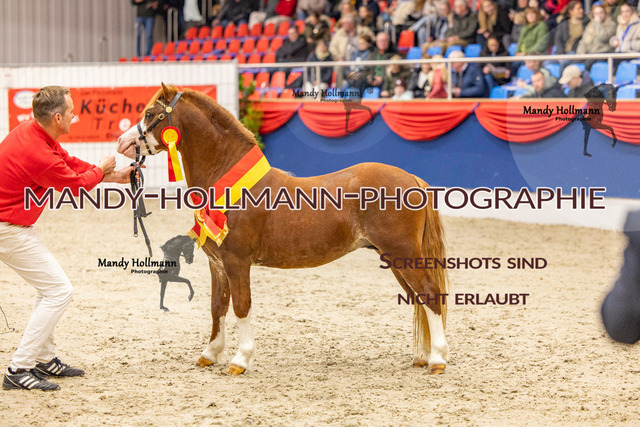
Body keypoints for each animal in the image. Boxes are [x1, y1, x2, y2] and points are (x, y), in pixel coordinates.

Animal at [117, 84, 449, 375]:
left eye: (150, 114)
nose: (122, 143)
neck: (229, 181)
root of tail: (412, 179)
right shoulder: (218, 264)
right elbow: (217, 307)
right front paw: (209, 354)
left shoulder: (237, 262)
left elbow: (241, 306)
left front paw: (240, 360)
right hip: (394, 258)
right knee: (419, 299)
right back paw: (423, 357)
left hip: (403, 255)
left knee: (430, 294)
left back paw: (437, 360)